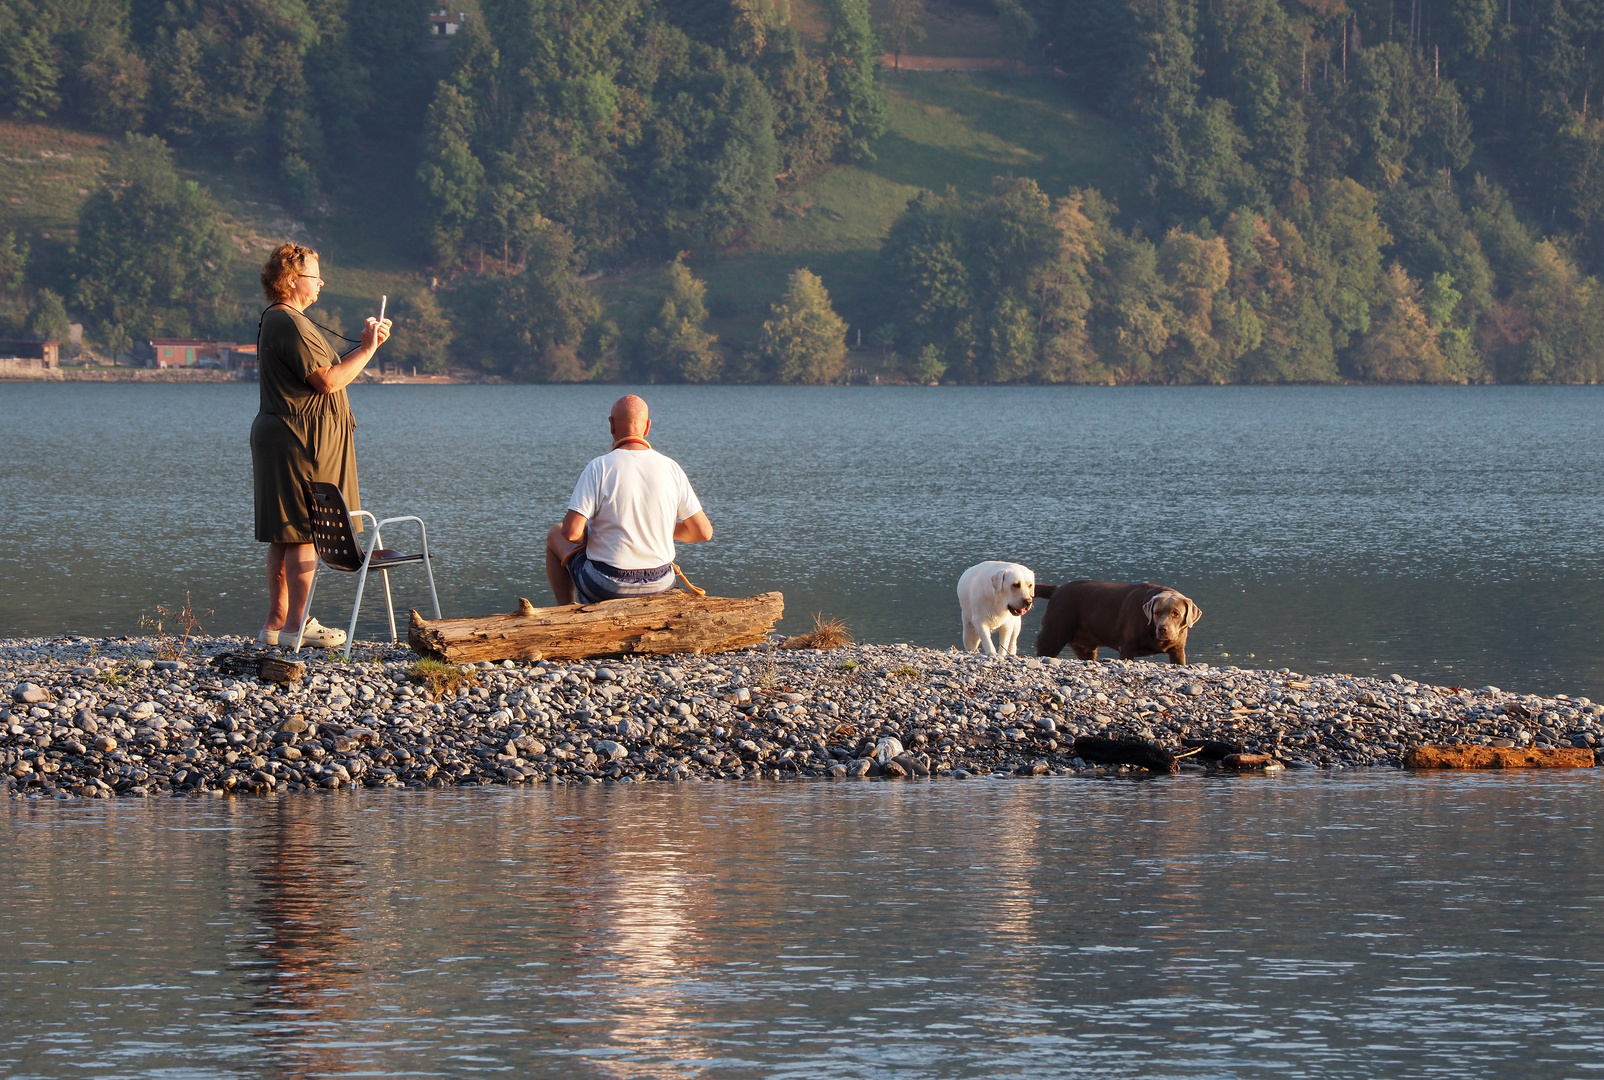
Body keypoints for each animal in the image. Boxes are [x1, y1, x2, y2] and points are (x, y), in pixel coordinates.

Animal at [1039, 577, 1206, 661]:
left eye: (1176, 613)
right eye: (1157, 612)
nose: (1162, 629)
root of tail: (1057, 589)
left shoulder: (1178, 650)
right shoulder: (1127, 648)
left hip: (1085, 648)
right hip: (1052, 635)